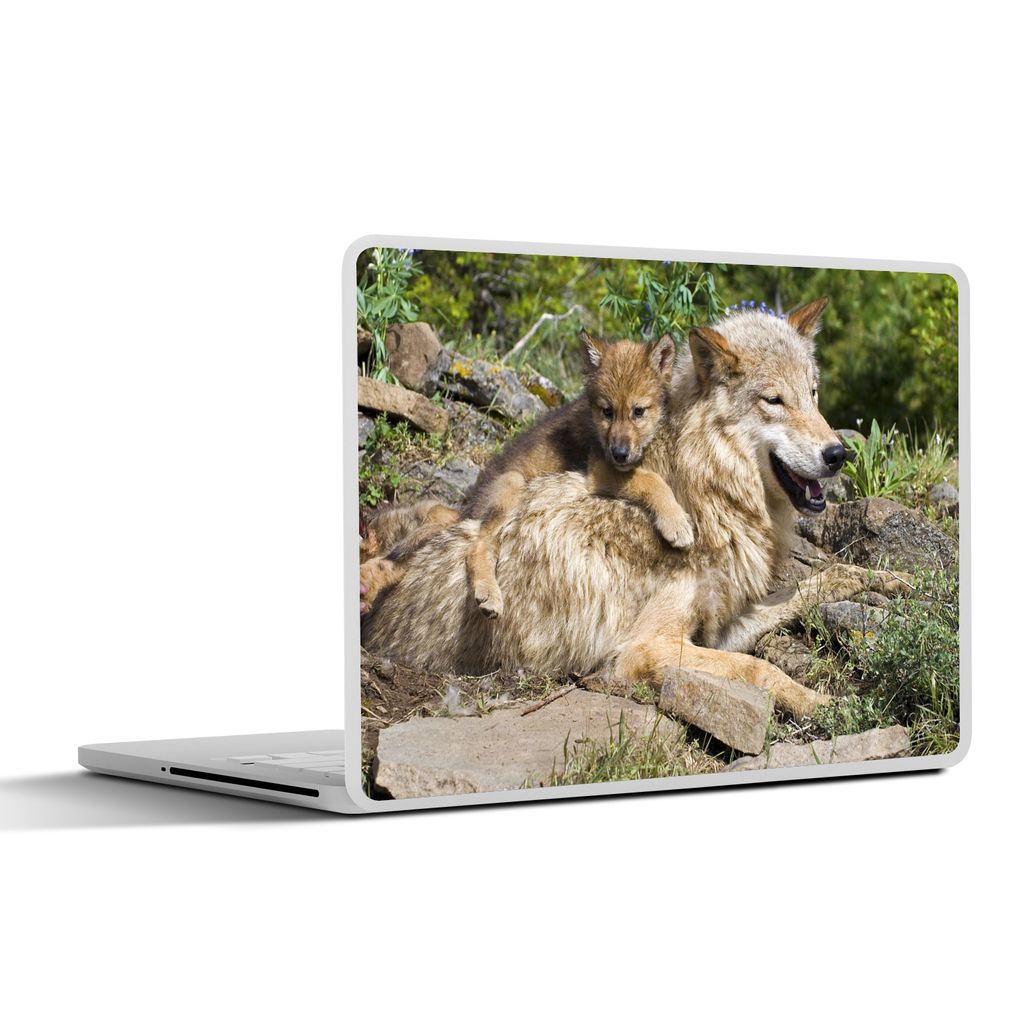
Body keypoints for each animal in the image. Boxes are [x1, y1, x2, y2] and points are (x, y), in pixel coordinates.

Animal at [360, 332, 693, 619]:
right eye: (607, 411)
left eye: (639, 411)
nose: (620, 453)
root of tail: (469, 507)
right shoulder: (600, 470)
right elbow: (651, 480)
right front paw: (676, 523)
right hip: (512, 484)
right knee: (476, 546)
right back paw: (489, 595)